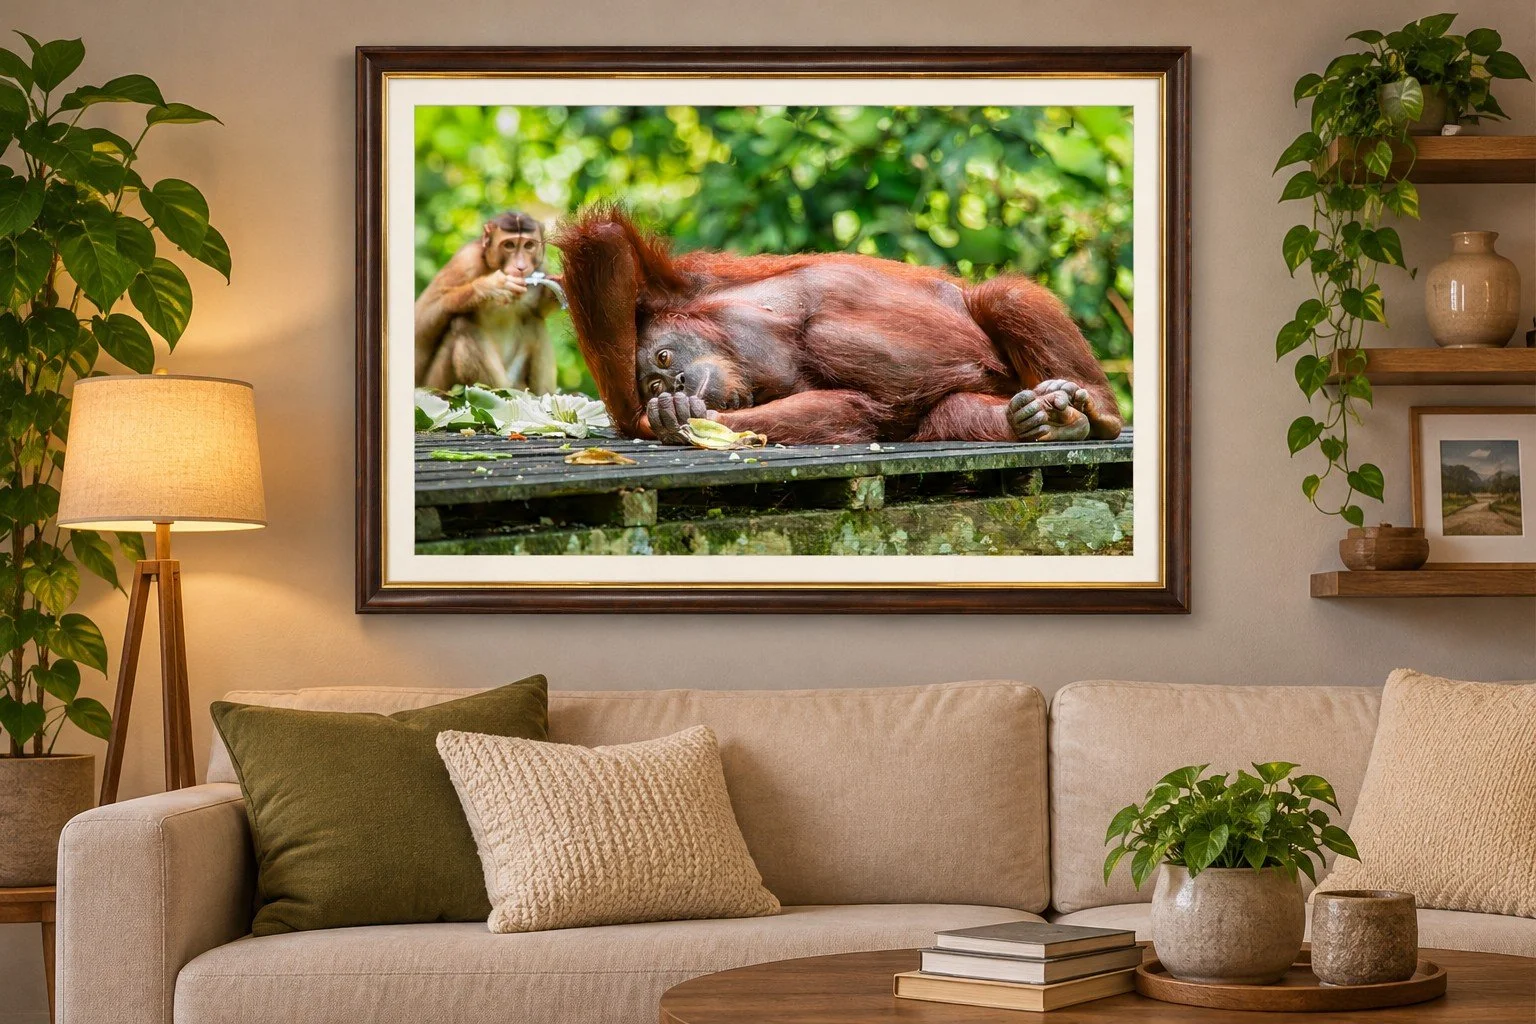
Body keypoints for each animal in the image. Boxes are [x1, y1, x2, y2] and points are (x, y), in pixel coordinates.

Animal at [414, 211, 563, 394]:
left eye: (528, 245)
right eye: (509, 245)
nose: (521, 267)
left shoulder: (541, 266)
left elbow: (539, 309)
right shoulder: (465, 261)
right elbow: (420, 327)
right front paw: (489, 287)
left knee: (534, 323)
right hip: (436, 385)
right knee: (462, 324)